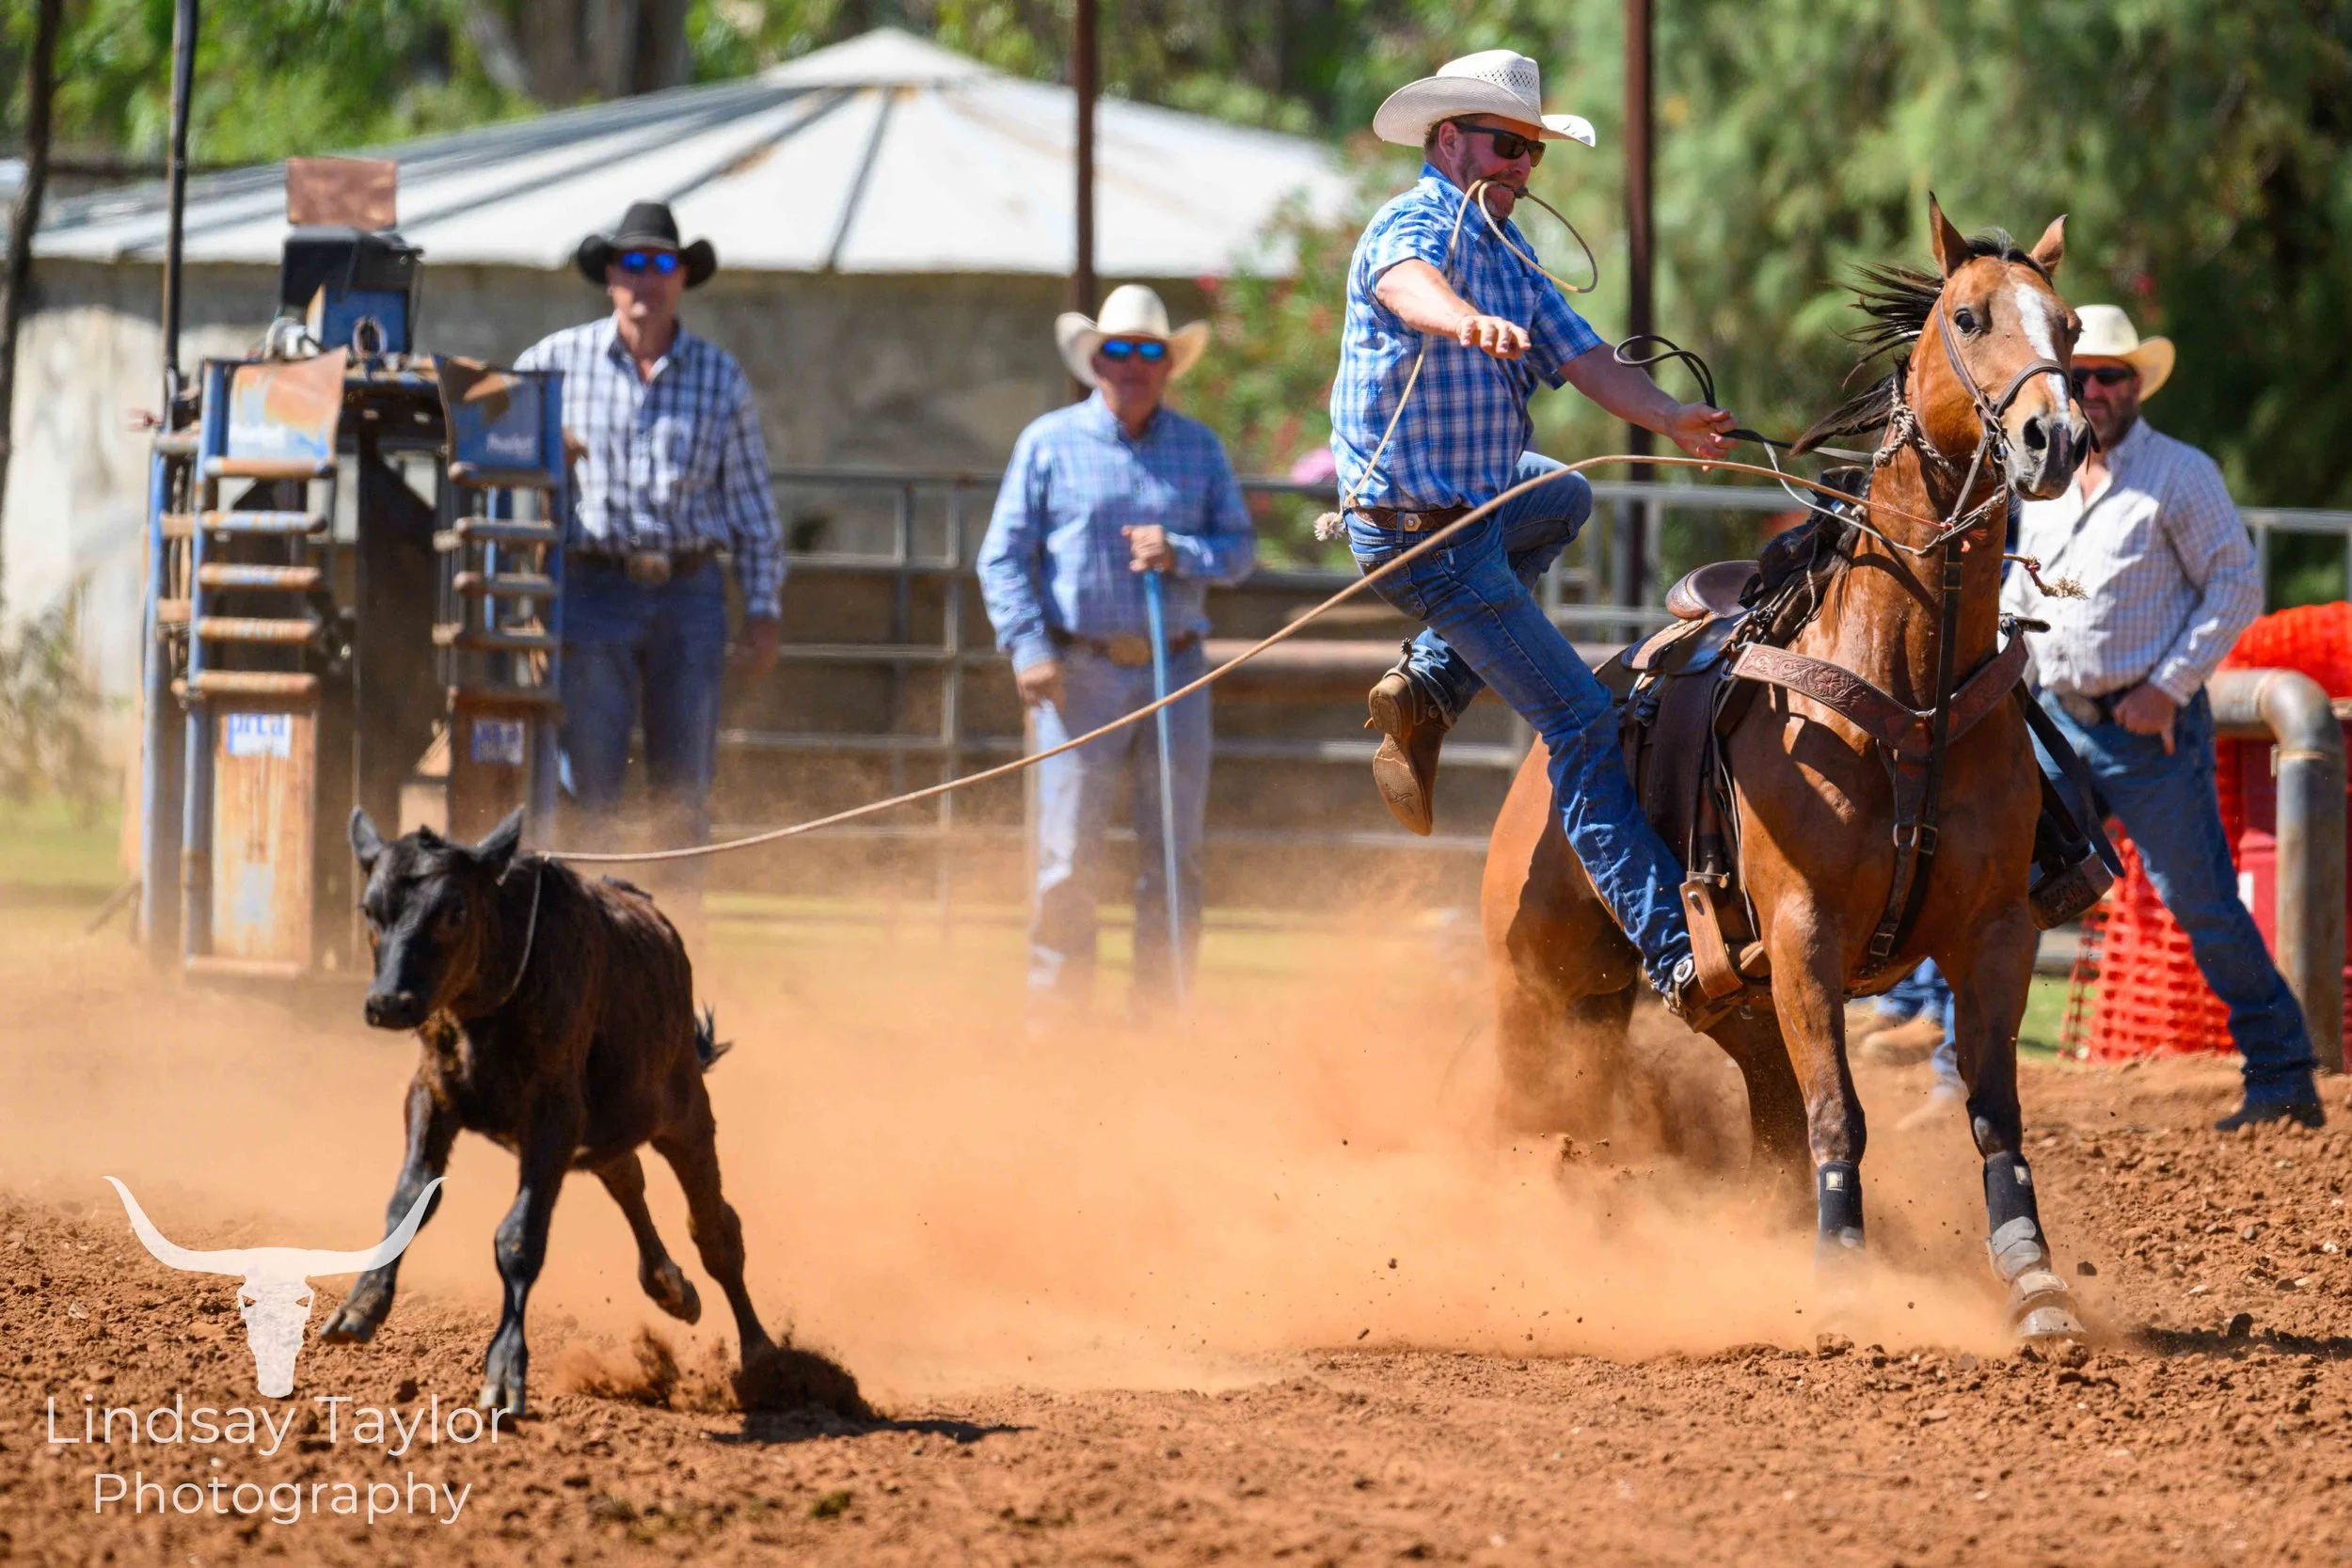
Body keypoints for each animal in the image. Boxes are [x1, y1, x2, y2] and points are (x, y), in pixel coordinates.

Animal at [325, 807, 855, 1418]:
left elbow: (519, 1238)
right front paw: (360, 1308)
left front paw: (505, 1373)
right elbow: (408, 1200)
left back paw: (764, 1357)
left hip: (684, 1113)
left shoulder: (554, 1118)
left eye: (454, 911)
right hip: (606, 1127)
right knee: (626, 1177)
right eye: (370, 909)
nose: (389, 1003)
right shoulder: (432, 1095)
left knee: (716, 1231)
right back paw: (671, 1287)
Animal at [1482, 196, 2092, 1340]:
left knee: (1766, 1120)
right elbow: (1840, 1113)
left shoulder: (1996, 929)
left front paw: (2035, 1279)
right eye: (1970, 316)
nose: (2058, 436)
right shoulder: (1808, 933)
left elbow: (1992, 1109)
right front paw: (1844, 1282)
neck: (1907, 686)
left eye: (2070, 326)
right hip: (1534, 976)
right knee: (1527, 1103)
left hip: (1735, 1005)